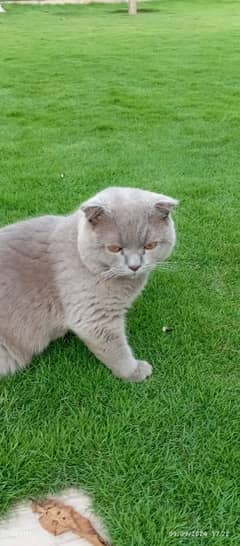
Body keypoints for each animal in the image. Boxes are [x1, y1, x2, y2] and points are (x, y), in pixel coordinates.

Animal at [0, 186, 177, 378]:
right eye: (114, 248)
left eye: (150, 246)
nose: (135, 266)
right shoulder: (94, 316)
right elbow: (116, 349)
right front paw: (135, 371)